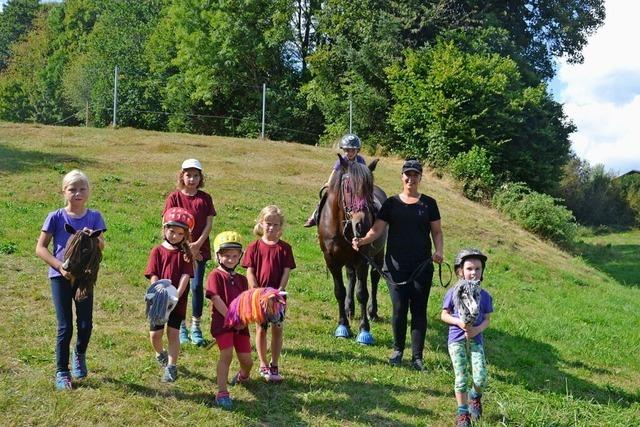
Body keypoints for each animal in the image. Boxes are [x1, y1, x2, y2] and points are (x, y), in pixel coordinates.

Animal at [318, 155, 388, 344]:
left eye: (369, 188)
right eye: (348, 188)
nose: (362, 225)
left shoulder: (362, 260)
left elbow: (362, 293)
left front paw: (364, 330)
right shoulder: (332, 260)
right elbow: (340, 291)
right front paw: (343, 325)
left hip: (378, 255)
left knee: (374, 278)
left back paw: (372, 312)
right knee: (351, 277)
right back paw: (349, 309)